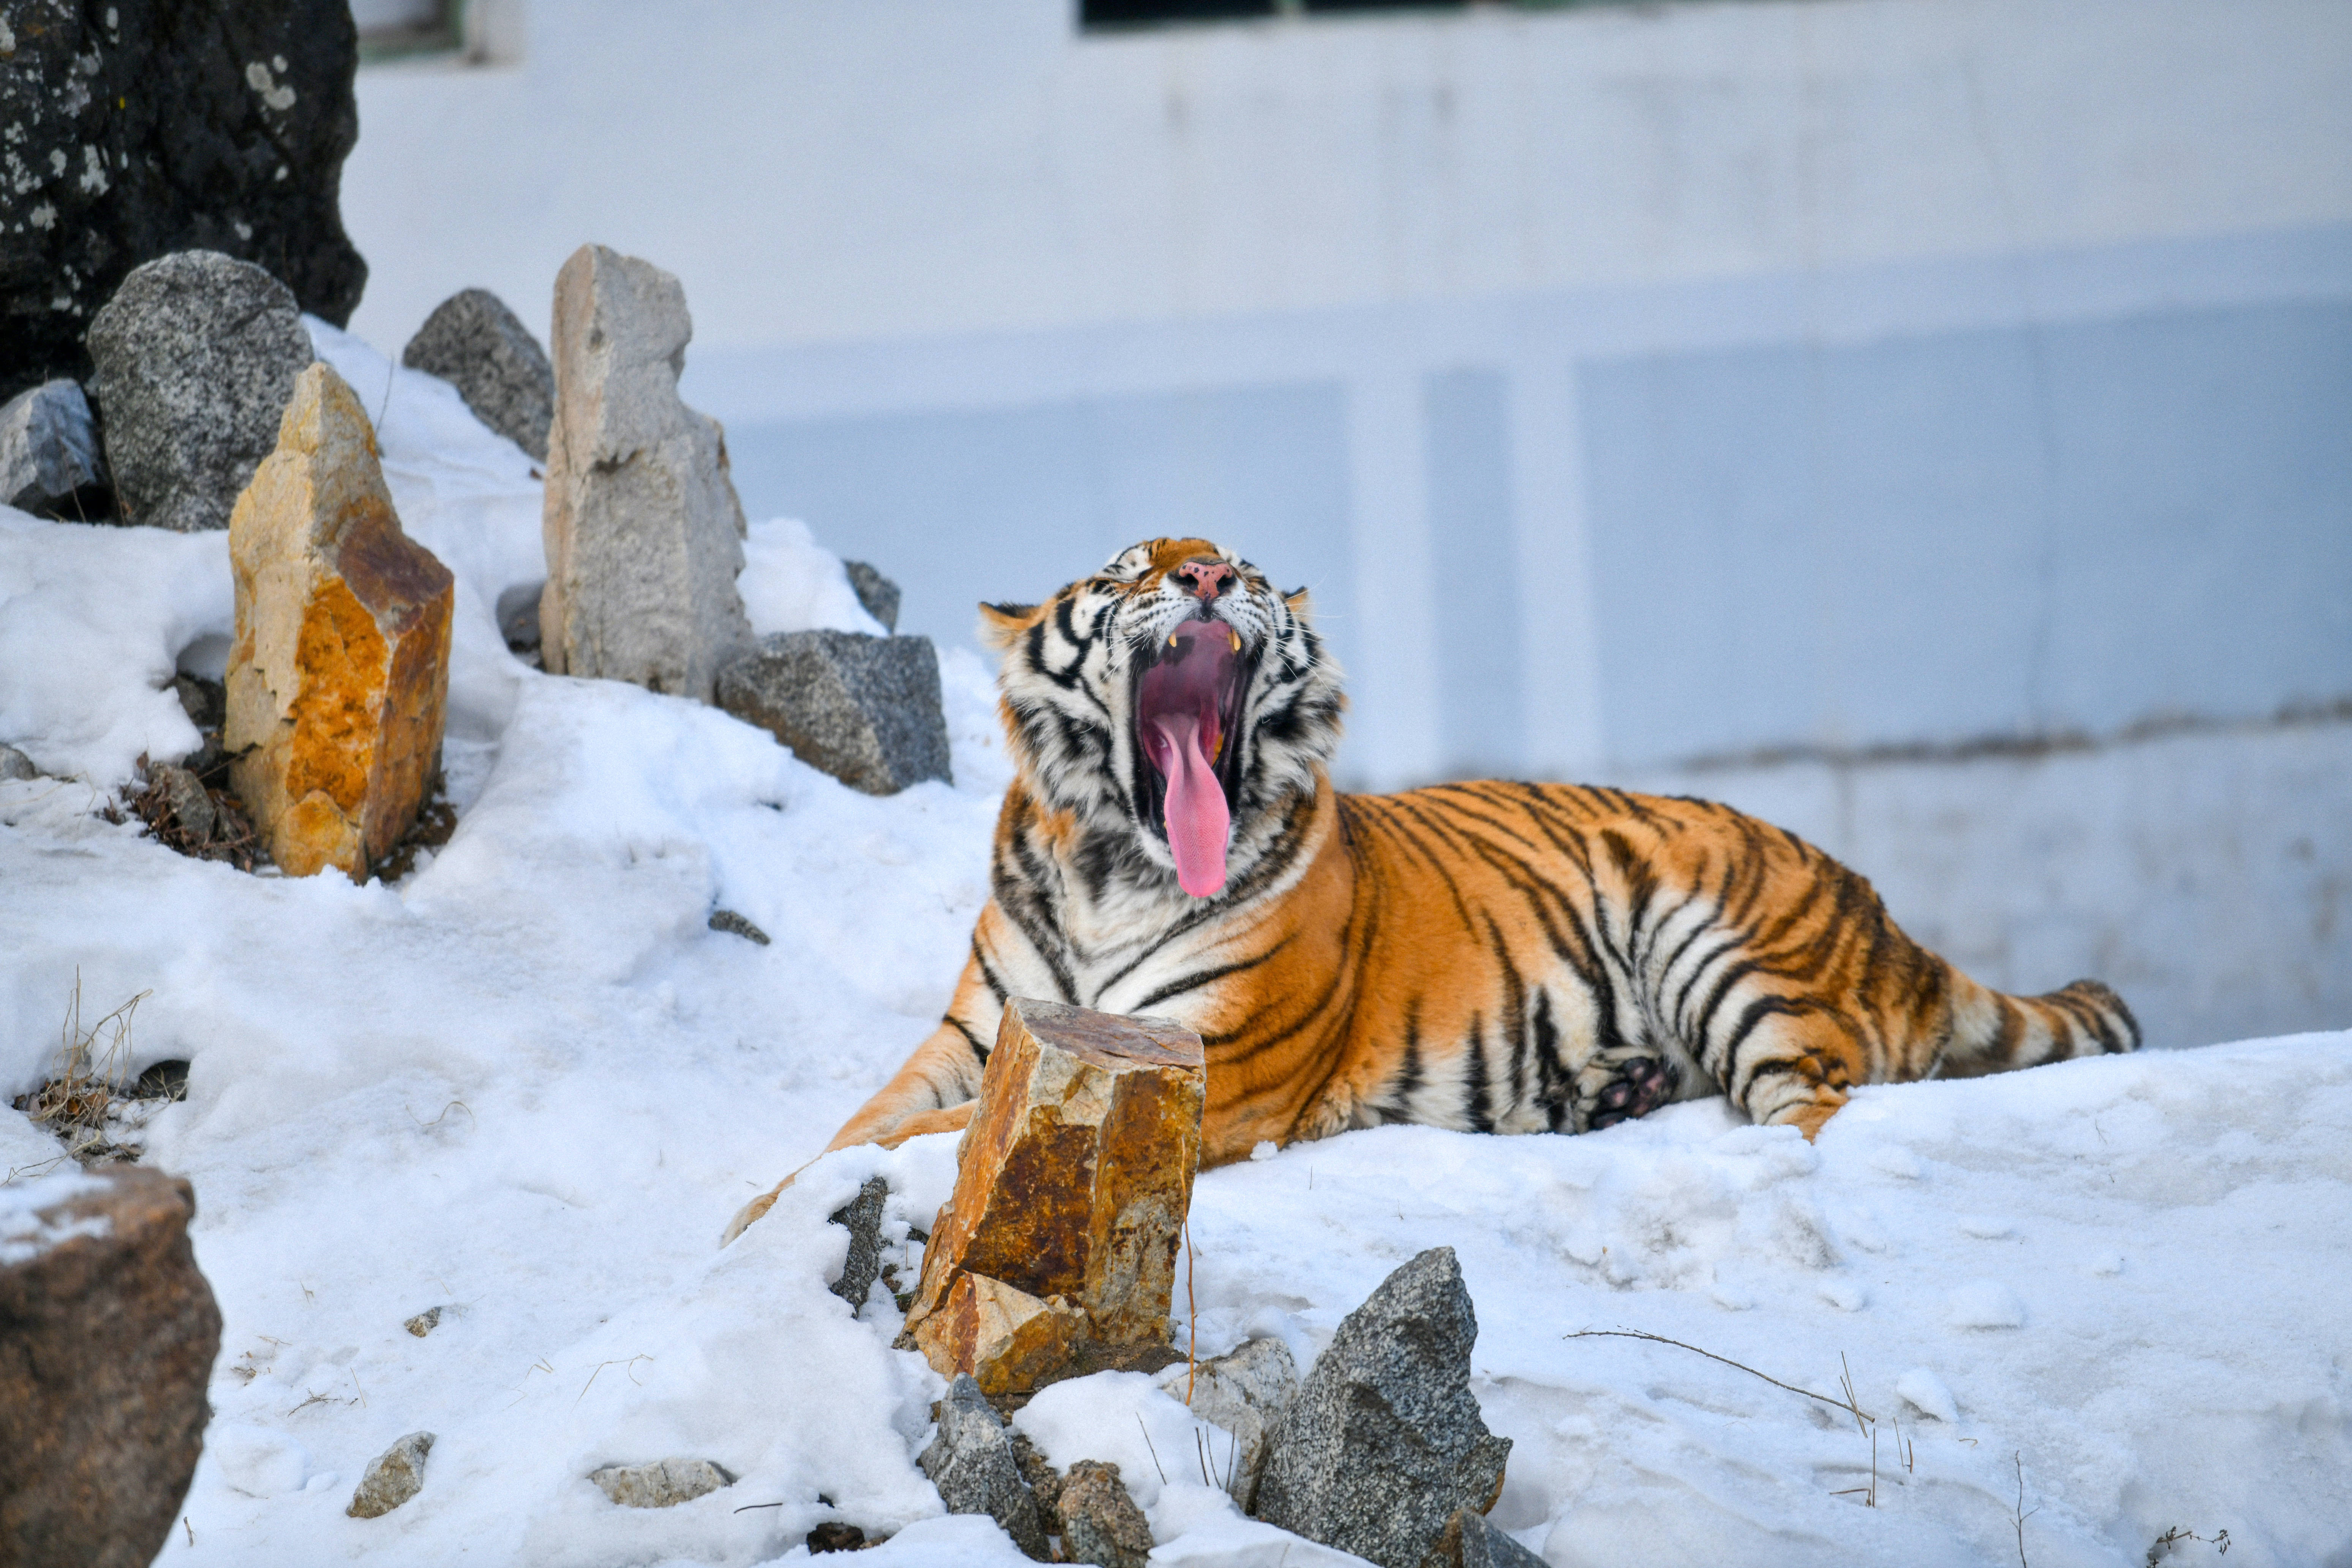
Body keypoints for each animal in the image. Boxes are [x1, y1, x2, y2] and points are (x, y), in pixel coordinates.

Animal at [724, 541, 2145, 1241]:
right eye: (1131, 567)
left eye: (1239, 561)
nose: (1206, 579)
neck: (1107, 863)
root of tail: (1887, 912)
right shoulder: (974, 1034)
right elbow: (859, 1127)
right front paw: (762, 1203)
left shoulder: (1194, 1057)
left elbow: (923, 1139)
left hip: (1726, 940)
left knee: (1818, 1111)